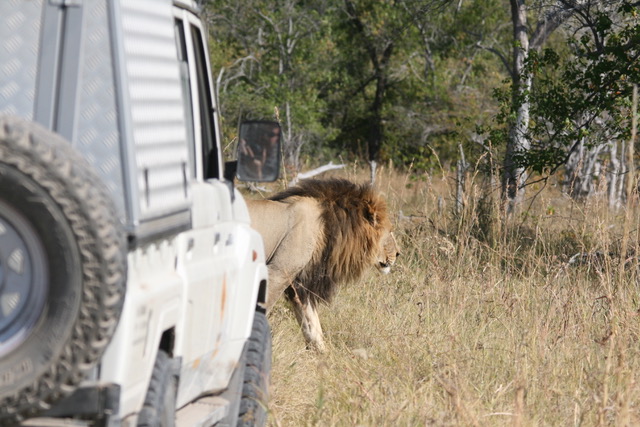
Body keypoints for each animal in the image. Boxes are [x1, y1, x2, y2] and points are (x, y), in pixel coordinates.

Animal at [246, 179, 400, 352]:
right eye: (390, 231)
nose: (399, 253)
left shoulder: (299, 284)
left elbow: (311, 324)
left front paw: (323, 354)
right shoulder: (278, 272)